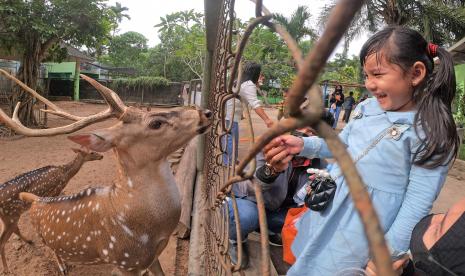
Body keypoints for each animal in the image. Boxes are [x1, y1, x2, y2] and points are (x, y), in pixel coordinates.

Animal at [0, 70, 210, 274]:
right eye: (156, 123)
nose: (206, 112)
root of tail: (34, 200)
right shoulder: (125, 261)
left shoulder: (152, 258)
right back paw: (58, 266)